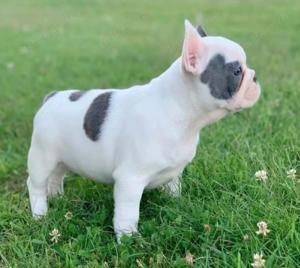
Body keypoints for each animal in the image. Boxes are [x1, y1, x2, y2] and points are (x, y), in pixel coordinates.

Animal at [27, 19, 260, 242]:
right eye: (236, 71)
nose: (255, 76)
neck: (182, 113)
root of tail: (51, 97)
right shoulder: (130, 179)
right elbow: (128, 214)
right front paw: (129, 239)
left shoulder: (174, 172)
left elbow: (174, 189)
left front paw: (175, 206)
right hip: (42, 156)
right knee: (36, 184)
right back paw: (40, 213)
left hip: (61, 158)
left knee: (56, 176)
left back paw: (57, 197)